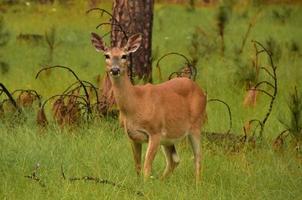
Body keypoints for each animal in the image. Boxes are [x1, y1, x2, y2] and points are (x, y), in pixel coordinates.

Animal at [90, 31, 208, 181]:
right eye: (107, 55)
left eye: (124, 55)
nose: (115, 69)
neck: (135, 105)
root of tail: (201, 91)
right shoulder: (131, 135)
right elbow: (138, 166)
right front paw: (139, 183)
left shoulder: (155, 131)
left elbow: (147, 167)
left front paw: (145, 185)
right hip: (168, 137)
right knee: (174, 160)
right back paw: (162, 181)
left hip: (196, 125)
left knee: (198, 157)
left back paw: (197, 183)